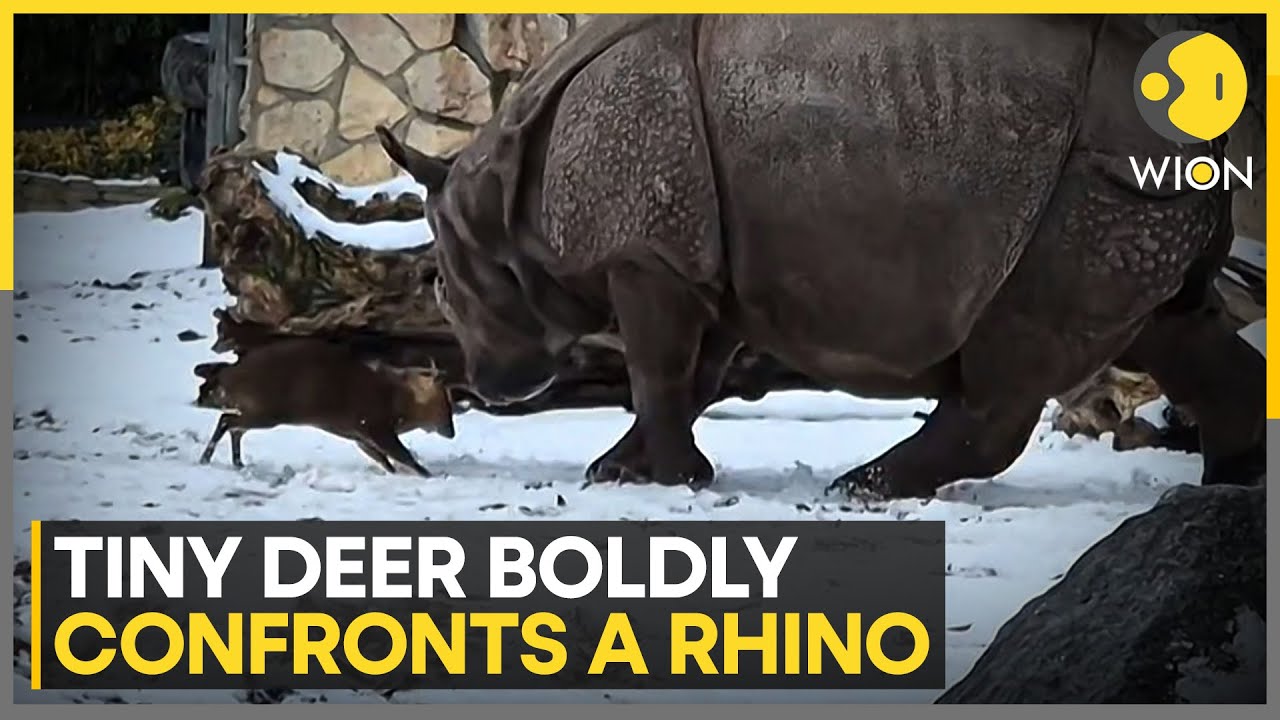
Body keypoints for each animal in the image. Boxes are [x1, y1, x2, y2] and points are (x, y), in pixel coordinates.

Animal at [376, 14, 1264, 499]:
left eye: (443, 290)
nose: (490, 388)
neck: (501, 188)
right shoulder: (702, 258)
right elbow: (693, 374)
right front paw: (636, 471)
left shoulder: (646, 252)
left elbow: (656, 367)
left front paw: (638, 479)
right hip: (1132, 184)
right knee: (1174, 323)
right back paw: (1231, 486)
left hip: (1089, 174)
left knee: (1019, 350)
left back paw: (864, 487)